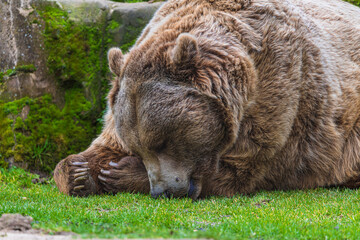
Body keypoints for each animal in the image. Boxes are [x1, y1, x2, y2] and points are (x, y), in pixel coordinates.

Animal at [53, 0, 360, 200]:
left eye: (162, 142)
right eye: (138, 147)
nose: (162, 191)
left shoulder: (282, 90)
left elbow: (239, 170)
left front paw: (120, 173)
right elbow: (100, 146)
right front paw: (80, 173)